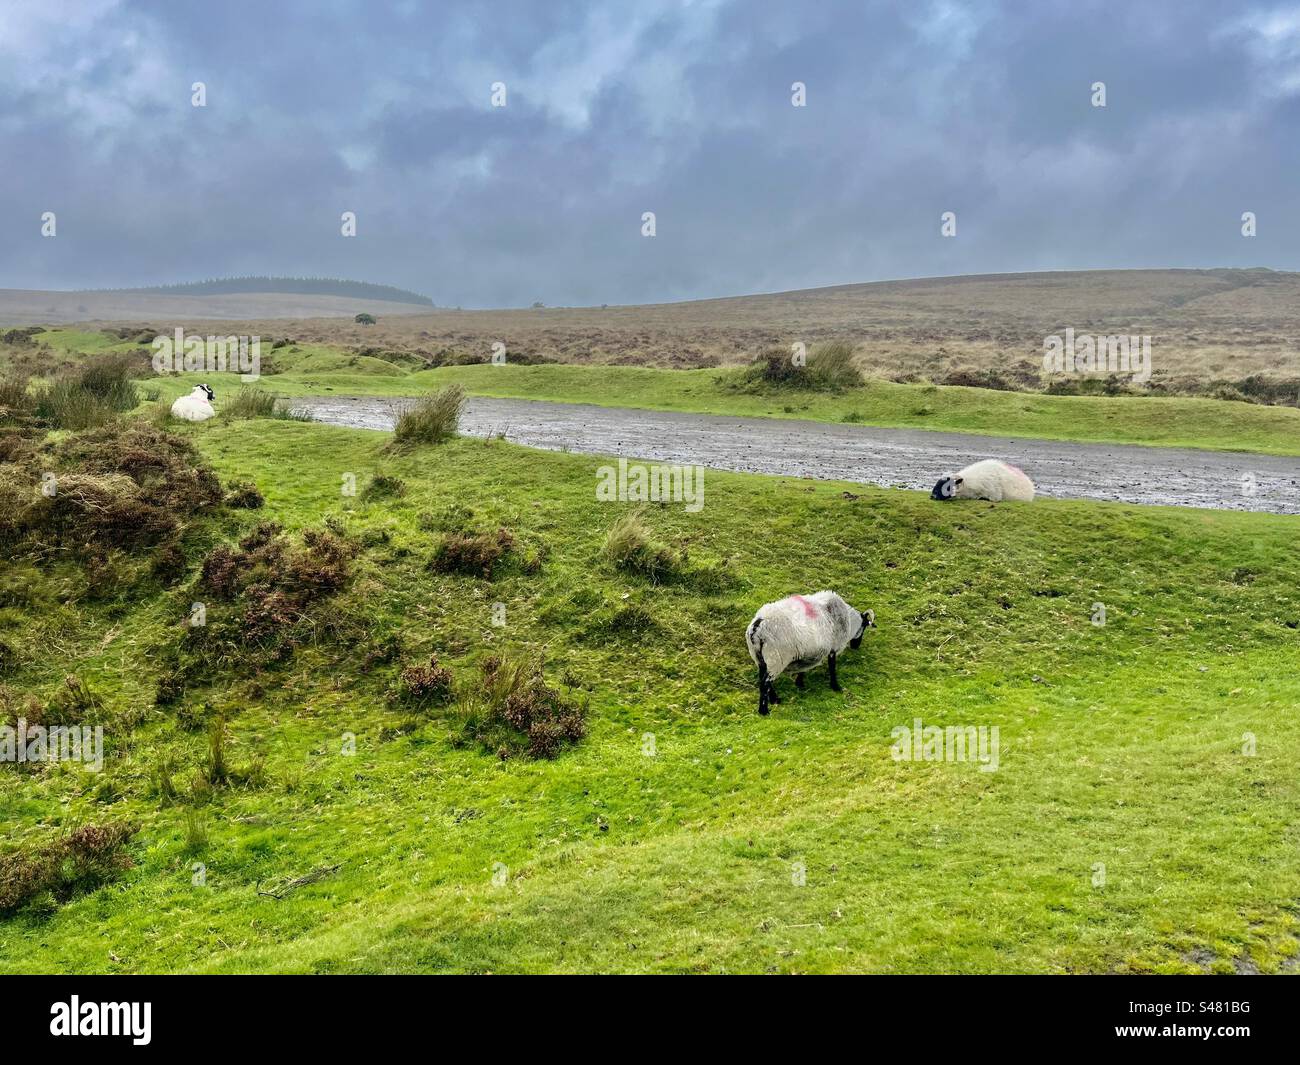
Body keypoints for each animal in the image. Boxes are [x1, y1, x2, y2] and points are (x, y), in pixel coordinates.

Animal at [748, 590, 878, 717]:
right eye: (864, 626)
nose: (856, 646)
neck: (848, 621)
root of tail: (757, 626)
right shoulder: (833, 648)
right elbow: (832, 668)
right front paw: (836, 687)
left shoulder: (810, 652)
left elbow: (804, 667)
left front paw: (800, 683)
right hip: (776, 659)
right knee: (765, 683)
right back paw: (764, 711)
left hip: (759, 658)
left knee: (764, 679)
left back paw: (775, 700)